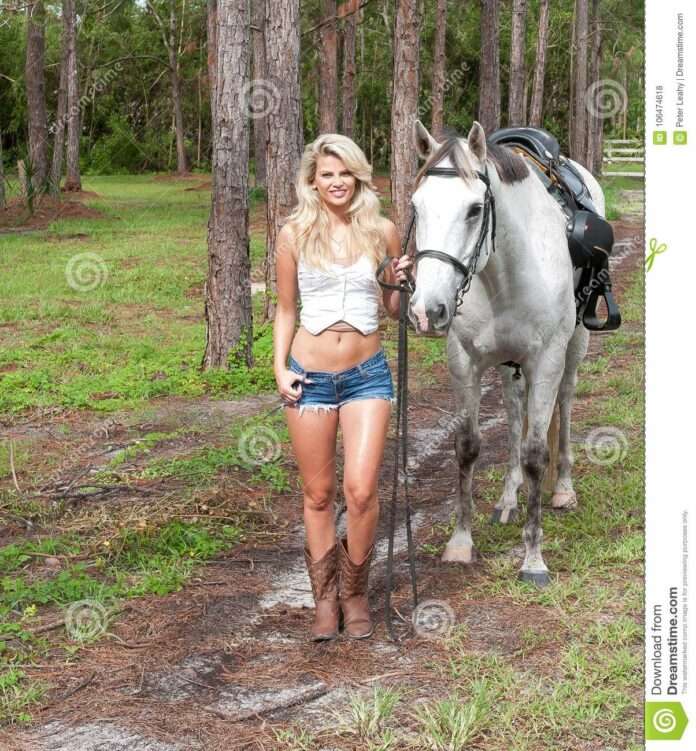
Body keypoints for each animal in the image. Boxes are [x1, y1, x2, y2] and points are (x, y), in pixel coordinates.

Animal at [407, 119, 602, 585]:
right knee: (514, 413)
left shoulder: (547, 360)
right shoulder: (464, 361)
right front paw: (461, 542)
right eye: (416, 207)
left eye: (475, 209)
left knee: (564, 405)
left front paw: (533, 558)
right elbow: (468, 445)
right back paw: (509, 498)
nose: (427, 310)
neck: (506, 272)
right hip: (509, 366)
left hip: (572, 350)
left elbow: (535, 453)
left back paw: (563, 489)